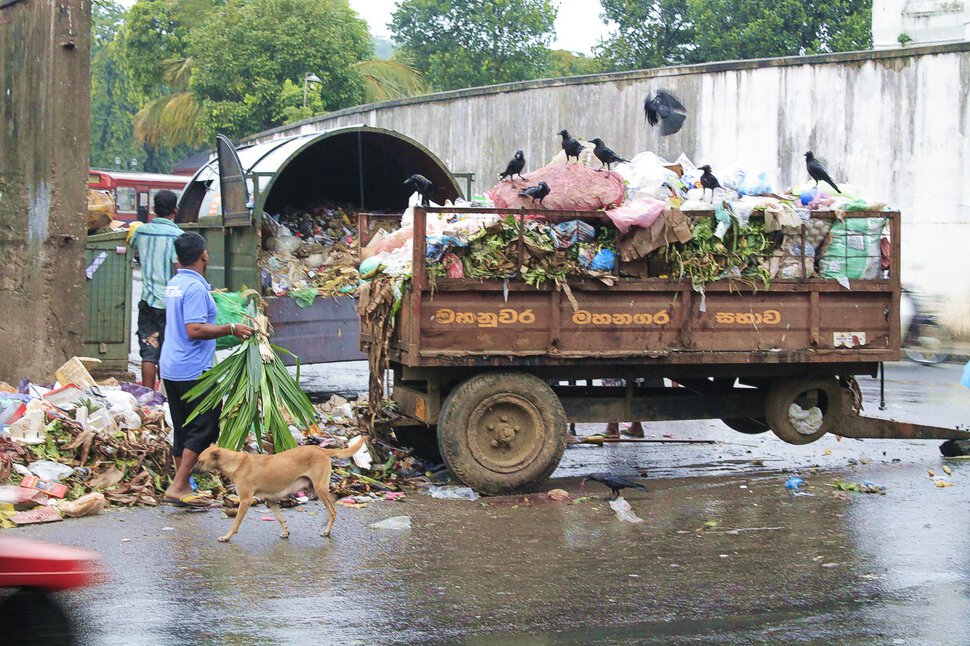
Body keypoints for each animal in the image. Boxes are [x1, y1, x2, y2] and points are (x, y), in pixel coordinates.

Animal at [195, 438, 364, 544]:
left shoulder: (245, 500)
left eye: (200, 461)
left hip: (319, 489)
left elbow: (236, 523)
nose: (191, 471)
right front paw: (285, 532)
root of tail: (320, 449)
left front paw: (227, 537)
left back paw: (327, 531)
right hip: (315, 489)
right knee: (332, 506)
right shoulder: (271, 501)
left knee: (333, 511)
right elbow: (281, 519)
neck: (236, 463)